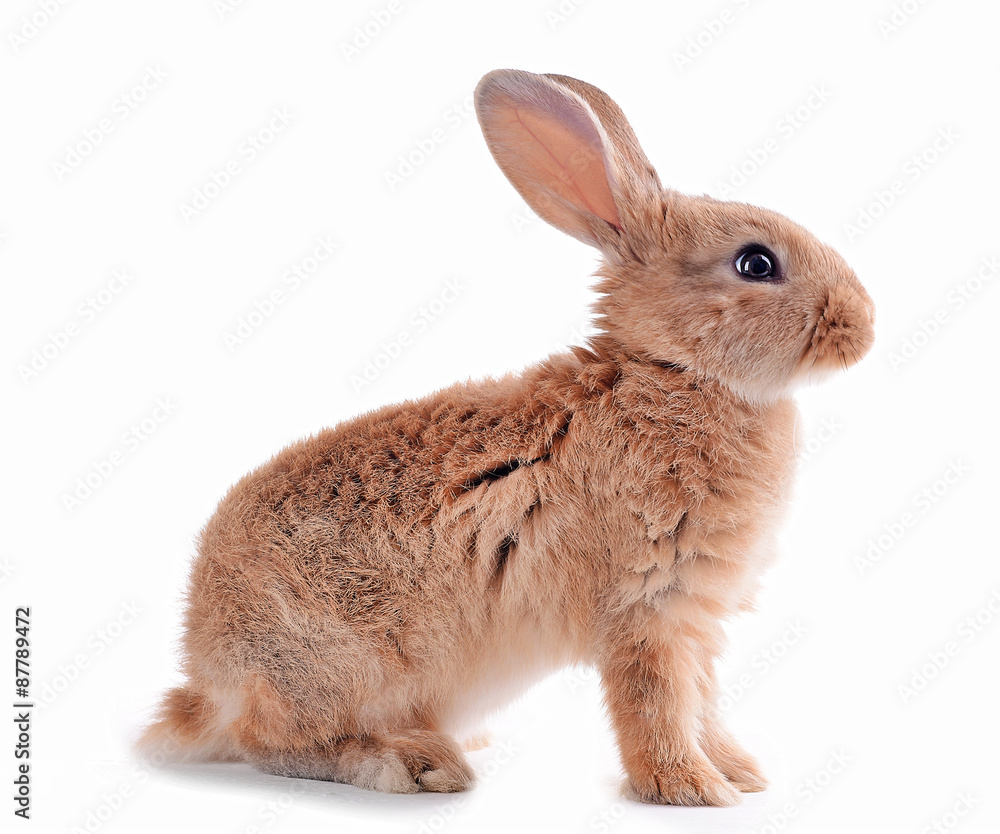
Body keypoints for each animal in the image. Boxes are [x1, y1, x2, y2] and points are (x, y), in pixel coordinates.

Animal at [139, 68, 875, 806]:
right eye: (756, 263)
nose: (863, 326)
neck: (674, 372)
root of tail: (209, 683)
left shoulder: (695, 616)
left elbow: (702, 698)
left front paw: (739, 773)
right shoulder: (646, 606)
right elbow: (657, 702)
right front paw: (689, 788)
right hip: (331, 668)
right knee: (272, 741)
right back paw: (410, 762)